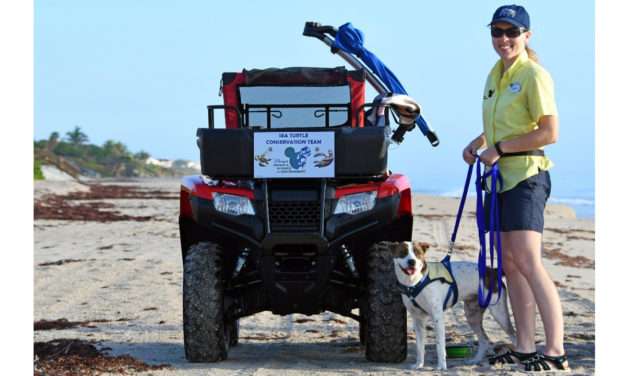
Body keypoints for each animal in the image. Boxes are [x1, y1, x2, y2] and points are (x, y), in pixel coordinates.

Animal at [392, 241, 516, 370]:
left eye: (418, 253)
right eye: (403, 252)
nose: (412, 261)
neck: (415, 282)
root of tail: (493, 271)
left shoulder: (437, 318)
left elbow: (440, 345)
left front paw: (441, 366)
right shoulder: (418, 320)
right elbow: (419, 346)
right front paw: (419, 364)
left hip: (499, 313)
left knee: (514, 336)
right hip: (472, 316)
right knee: (484, 340)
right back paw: (475, 360)